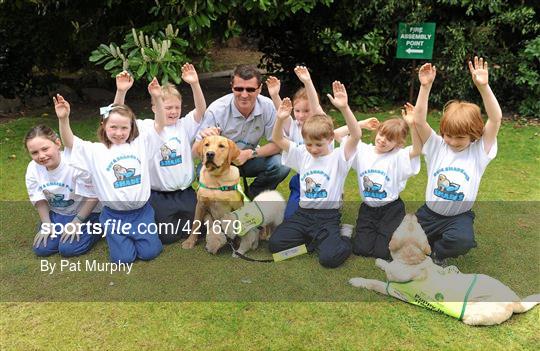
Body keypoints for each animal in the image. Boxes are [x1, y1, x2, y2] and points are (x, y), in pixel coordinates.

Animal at [348, 214, 536, 328]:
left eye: (402, 224)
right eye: (416, 225)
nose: (412, 214)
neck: (413, 260)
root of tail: (516, 301)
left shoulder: (390, 288)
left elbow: (373, 282)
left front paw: (357, 280)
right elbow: (387, 265)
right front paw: (381, 262)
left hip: (477, 313)